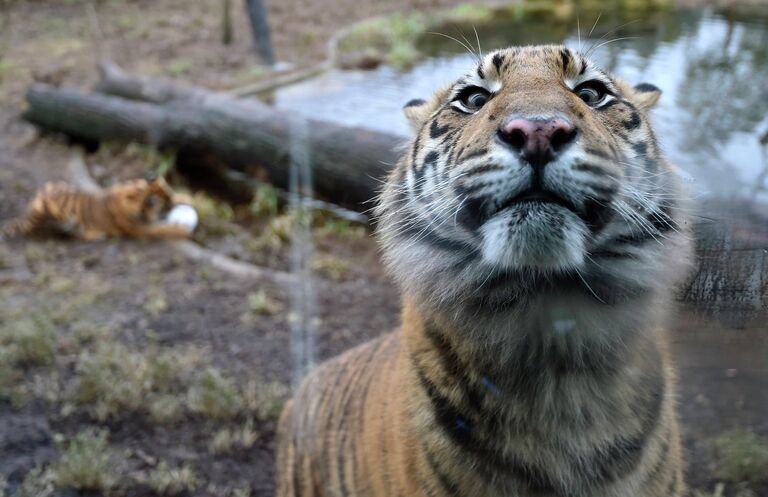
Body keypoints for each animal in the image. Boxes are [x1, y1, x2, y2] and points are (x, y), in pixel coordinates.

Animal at [1, 175, 194, 239]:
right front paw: (182, 230)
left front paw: (187, 197)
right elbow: (162, 228)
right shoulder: (138, 228)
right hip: (43, 211)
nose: (171, 206)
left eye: (169, 196)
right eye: (161, 204)